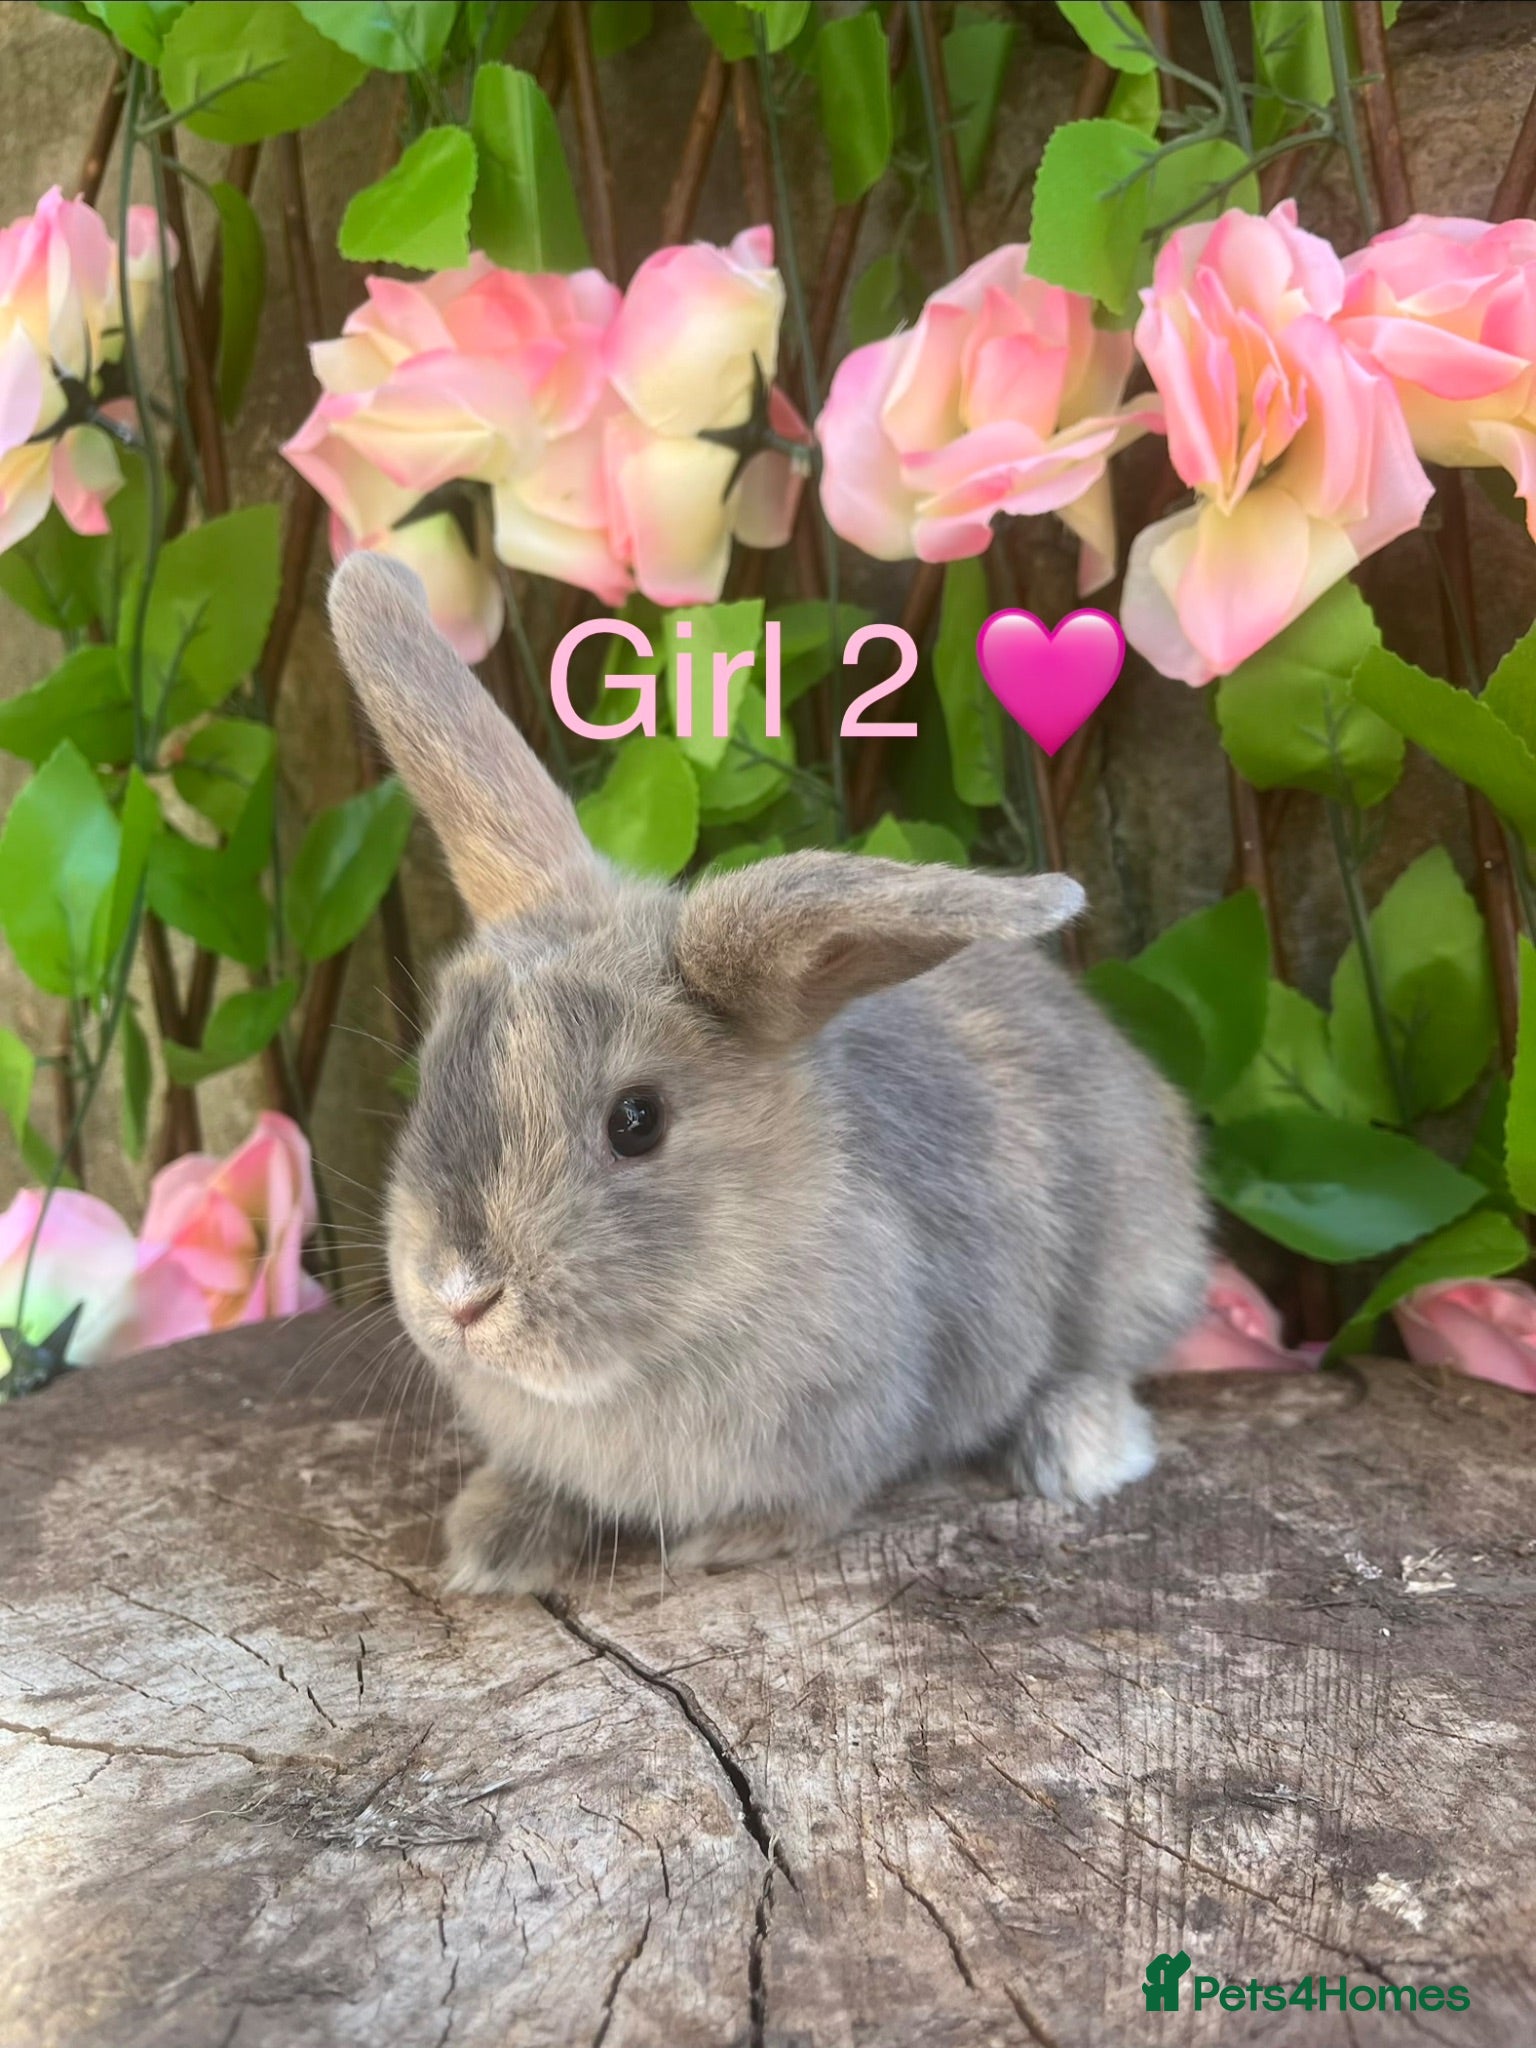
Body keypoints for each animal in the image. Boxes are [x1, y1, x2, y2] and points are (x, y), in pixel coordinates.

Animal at [328, 552, 1210, 1596]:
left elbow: (824, 1495)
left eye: (637, 1121)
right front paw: (492, 1541)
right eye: (429, 1079)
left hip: (1134, 1265)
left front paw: (736, 1541)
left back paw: (1079, 1446)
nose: (460, 1296)